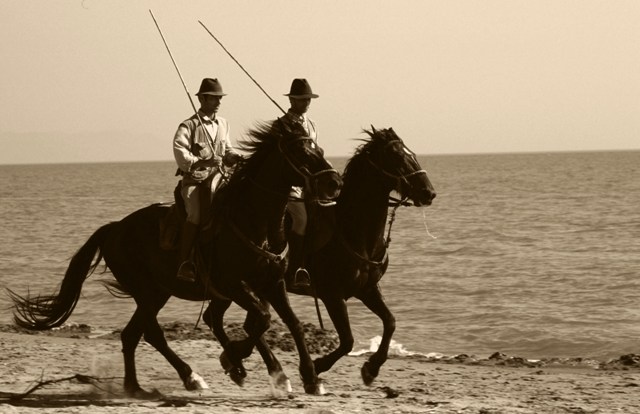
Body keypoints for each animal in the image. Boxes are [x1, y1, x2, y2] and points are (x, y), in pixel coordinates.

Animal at [7, 123, 342, 398]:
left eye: (319, 148)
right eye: (301, 150)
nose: (334, 183)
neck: (251, 220)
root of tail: (114, 228)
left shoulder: (271, 283)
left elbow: (290, 323)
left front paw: (309, 378)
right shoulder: (235, 284)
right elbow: (262, 319)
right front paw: (236, 360)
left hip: (162, 292)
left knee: (142, 333)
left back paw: (144, 384)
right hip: (149, 292)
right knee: (148, 334)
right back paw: (183, 378)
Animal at [205, 126, 436, 388]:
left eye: (411, 153)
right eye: (397, 156)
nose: (428, 192)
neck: (352, 230)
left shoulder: (367, 289)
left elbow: (390, 322)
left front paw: (372, 368)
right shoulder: (332, 295)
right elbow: (347, 340)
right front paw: (317, 367)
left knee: (223, 318)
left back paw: (248, 364)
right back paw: (242, 360)